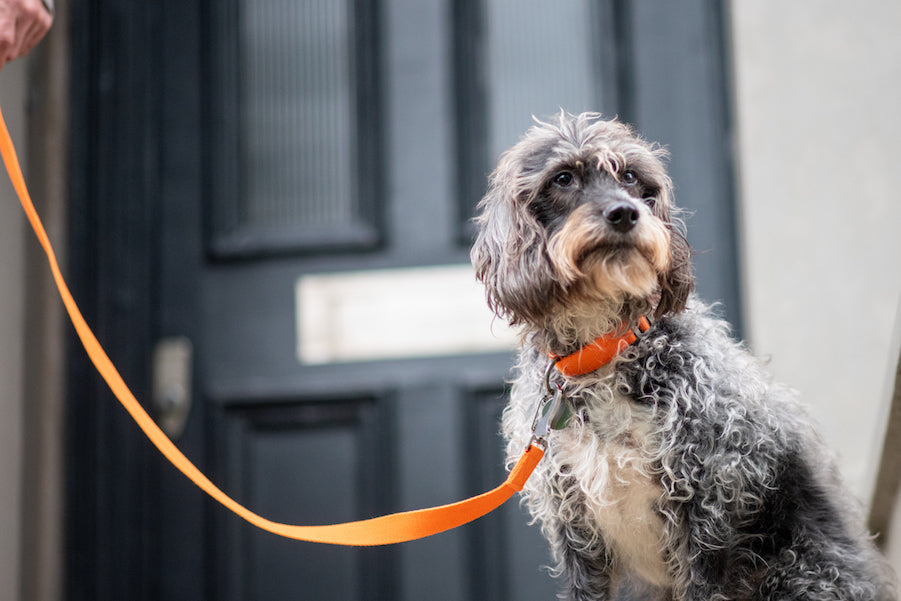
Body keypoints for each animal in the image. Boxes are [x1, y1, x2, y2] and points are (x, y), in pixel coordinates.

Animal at [472, 112, 892, 600]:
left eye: (630, 177)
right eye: (562, 178)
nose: (625, 214)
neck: (605, 351)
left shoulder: (705, 505)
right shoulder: (575, 522)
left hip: (800, 574)